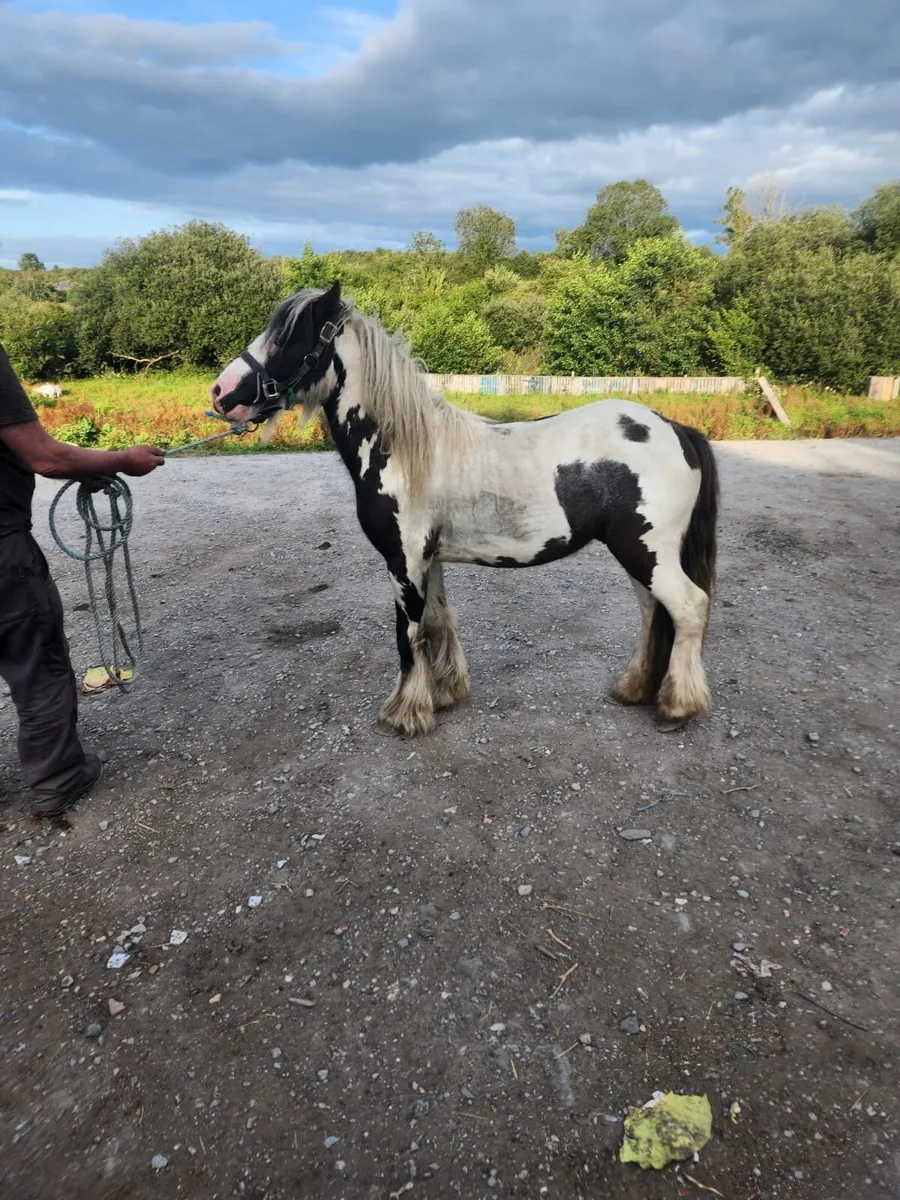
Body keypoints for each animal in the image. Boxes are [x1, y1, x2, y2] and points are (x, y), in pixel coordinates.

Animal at [210, 283, 719, 738]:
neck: (403, 449)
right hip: (639, 555)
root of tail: (674, 428)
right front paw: (444, 694)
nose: (219, 392)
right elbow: (436, 622)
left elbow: (408, 634)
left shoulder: (404, 563)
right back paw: (635, 688)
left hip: (645, 553)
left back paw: (677, 707)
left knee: (689, 608)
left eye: (286, 338)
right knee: (654, 614)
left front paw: (405, 714)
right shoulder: (426, 561)